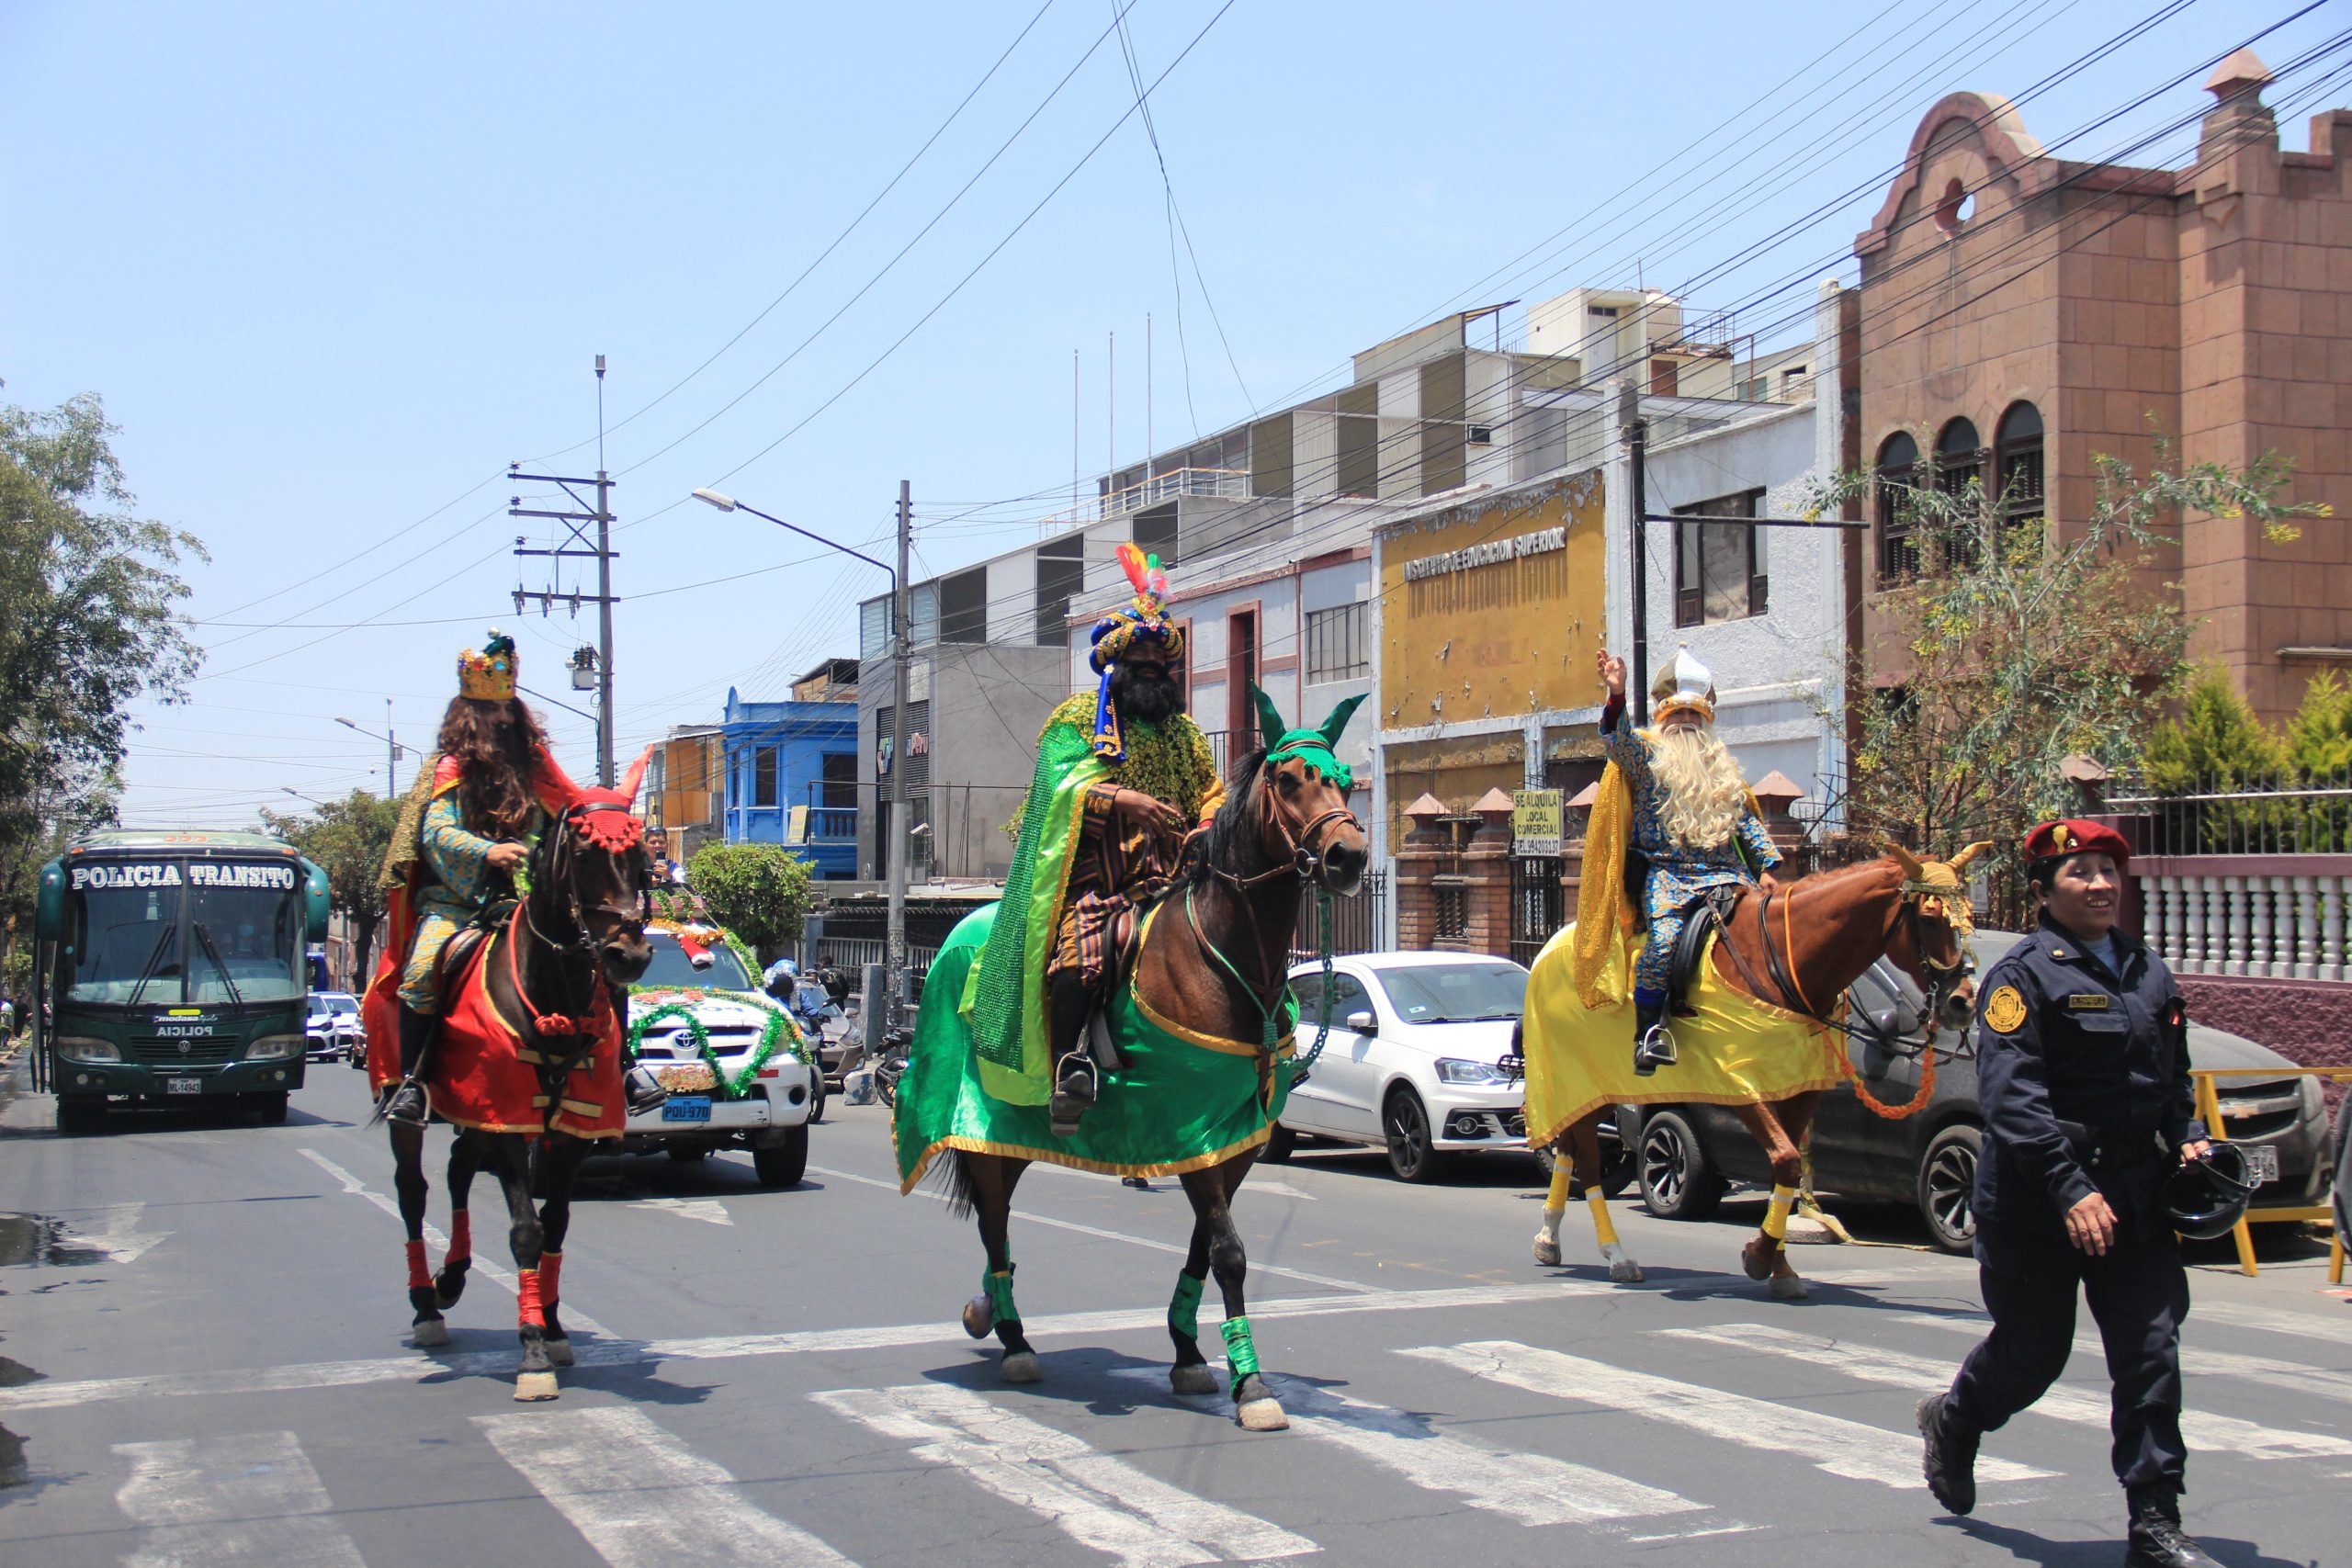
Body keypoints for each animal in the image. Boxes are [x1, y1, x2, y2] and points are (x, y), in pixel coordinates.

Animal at [385, 804, 649, 1401]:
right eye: (584, 855)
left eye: (641, 857)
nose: (629, 955)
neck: (552, 994)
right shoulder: (508, 1120)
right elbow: (527, 1231)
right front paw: (532, 1353)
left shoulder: (571, 1129)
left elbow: (556, 1225)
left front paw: (551, 1327)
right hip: (411, 1100)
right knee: (413, 1191)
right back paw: (424, 1306)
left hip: (472, 1112)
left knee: (458, 1169)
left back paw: (452, 1276)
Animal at [898, 686, 1374, 1438]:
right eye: (1288, 779)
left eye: (1346, 781)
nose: (1347, 857)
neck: (1229, 958)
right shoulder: (1189, 1126)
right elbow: (1230, 1252)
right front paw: (1252, 1383)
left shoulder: (1229, 1141)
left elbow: (1205, 1247)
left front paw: (1188, 1354)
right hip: (979, 1128)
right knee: (995, 1220)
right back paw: (1014, 1339)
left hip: (1017, 1133)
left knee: (997, 1219)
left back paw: (987, 1312)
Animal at [1533, 846, 1975, 1297]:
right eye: (1928, 918)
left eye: (1967, 917)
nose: (1962, 1003)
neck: (1782, 961)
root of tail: (1553, 944)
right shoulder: (1739, 1085)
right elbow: (1786, 1160)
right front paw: (1761, 1257)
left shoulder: (1799, 1091)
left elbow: (1787, 1169)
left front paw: (1780, 1266)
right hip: (1578, 1075)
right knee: (1588, 1159)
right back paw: (1616, 1254)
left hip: (1589, 1088)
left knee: (1568, 1147)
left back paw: (1550, 1238)